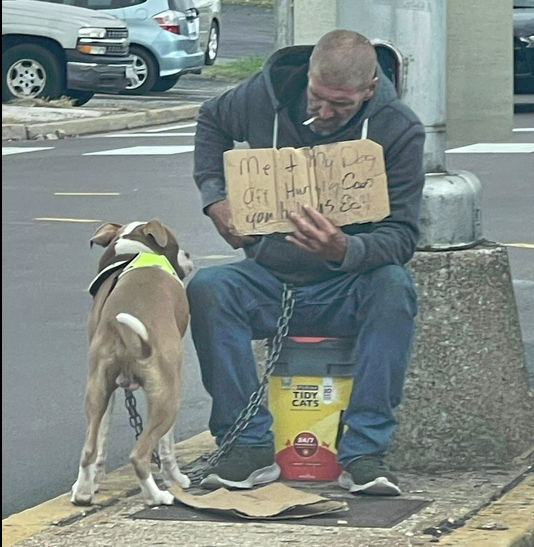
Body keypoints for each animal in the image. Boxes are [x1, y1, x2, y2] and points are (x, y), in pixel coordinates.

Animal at [72, 220, 195, 508]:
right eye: (176, 243)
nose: (188, 254)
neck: (136, 252)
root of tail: (123, 333)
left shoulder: (108, 395)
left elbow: (100, 444)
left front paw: (94, 482)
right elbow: (167, 448)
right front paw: (176, 479)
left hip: (96, 389)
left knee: (88, 449)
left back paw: (82, 493)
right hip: (167, 399)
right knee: (139, 454)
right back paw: (157, 496)